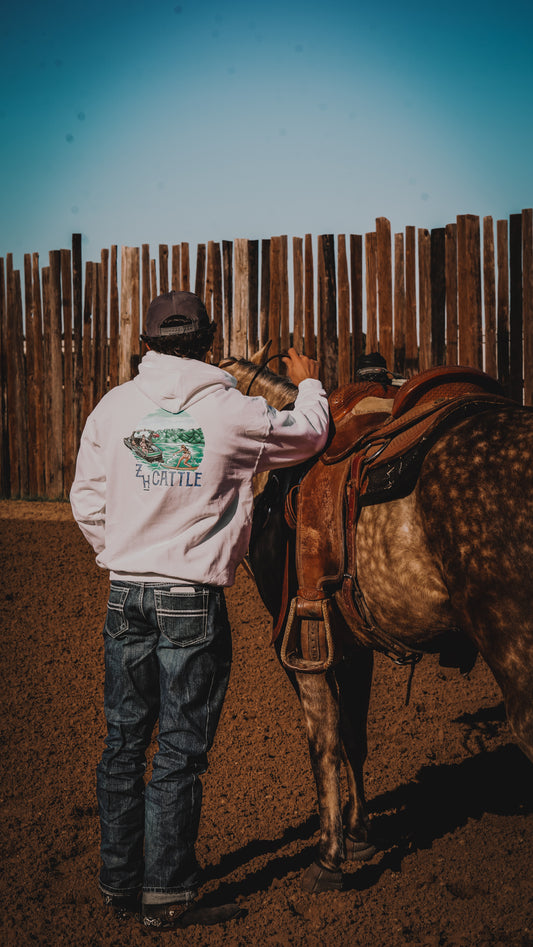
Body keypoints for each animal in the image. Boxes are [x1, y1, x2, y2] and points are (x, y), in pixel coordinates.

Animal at [217, 344, 532, 892]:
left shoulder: (301, 642)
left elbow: (323, 740)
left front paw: (329, 855)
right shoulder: (350, 642)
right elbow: (353, 737)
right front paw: (360, 834)